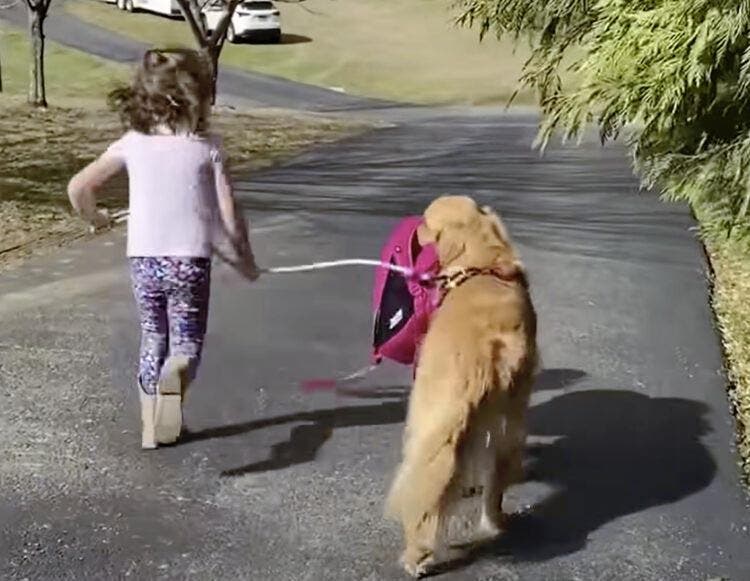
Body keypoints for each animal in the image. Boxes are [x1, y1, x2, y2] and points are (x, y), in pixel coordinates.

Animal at [384, 195, 536, 576]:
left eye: (426, 221)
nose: (414, 229)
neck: (484, 263)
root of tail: (488, 352)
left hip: (432, 419)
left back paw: (416, 557)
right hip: (507, 422)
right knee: (494, 480)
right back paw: (495, 522)